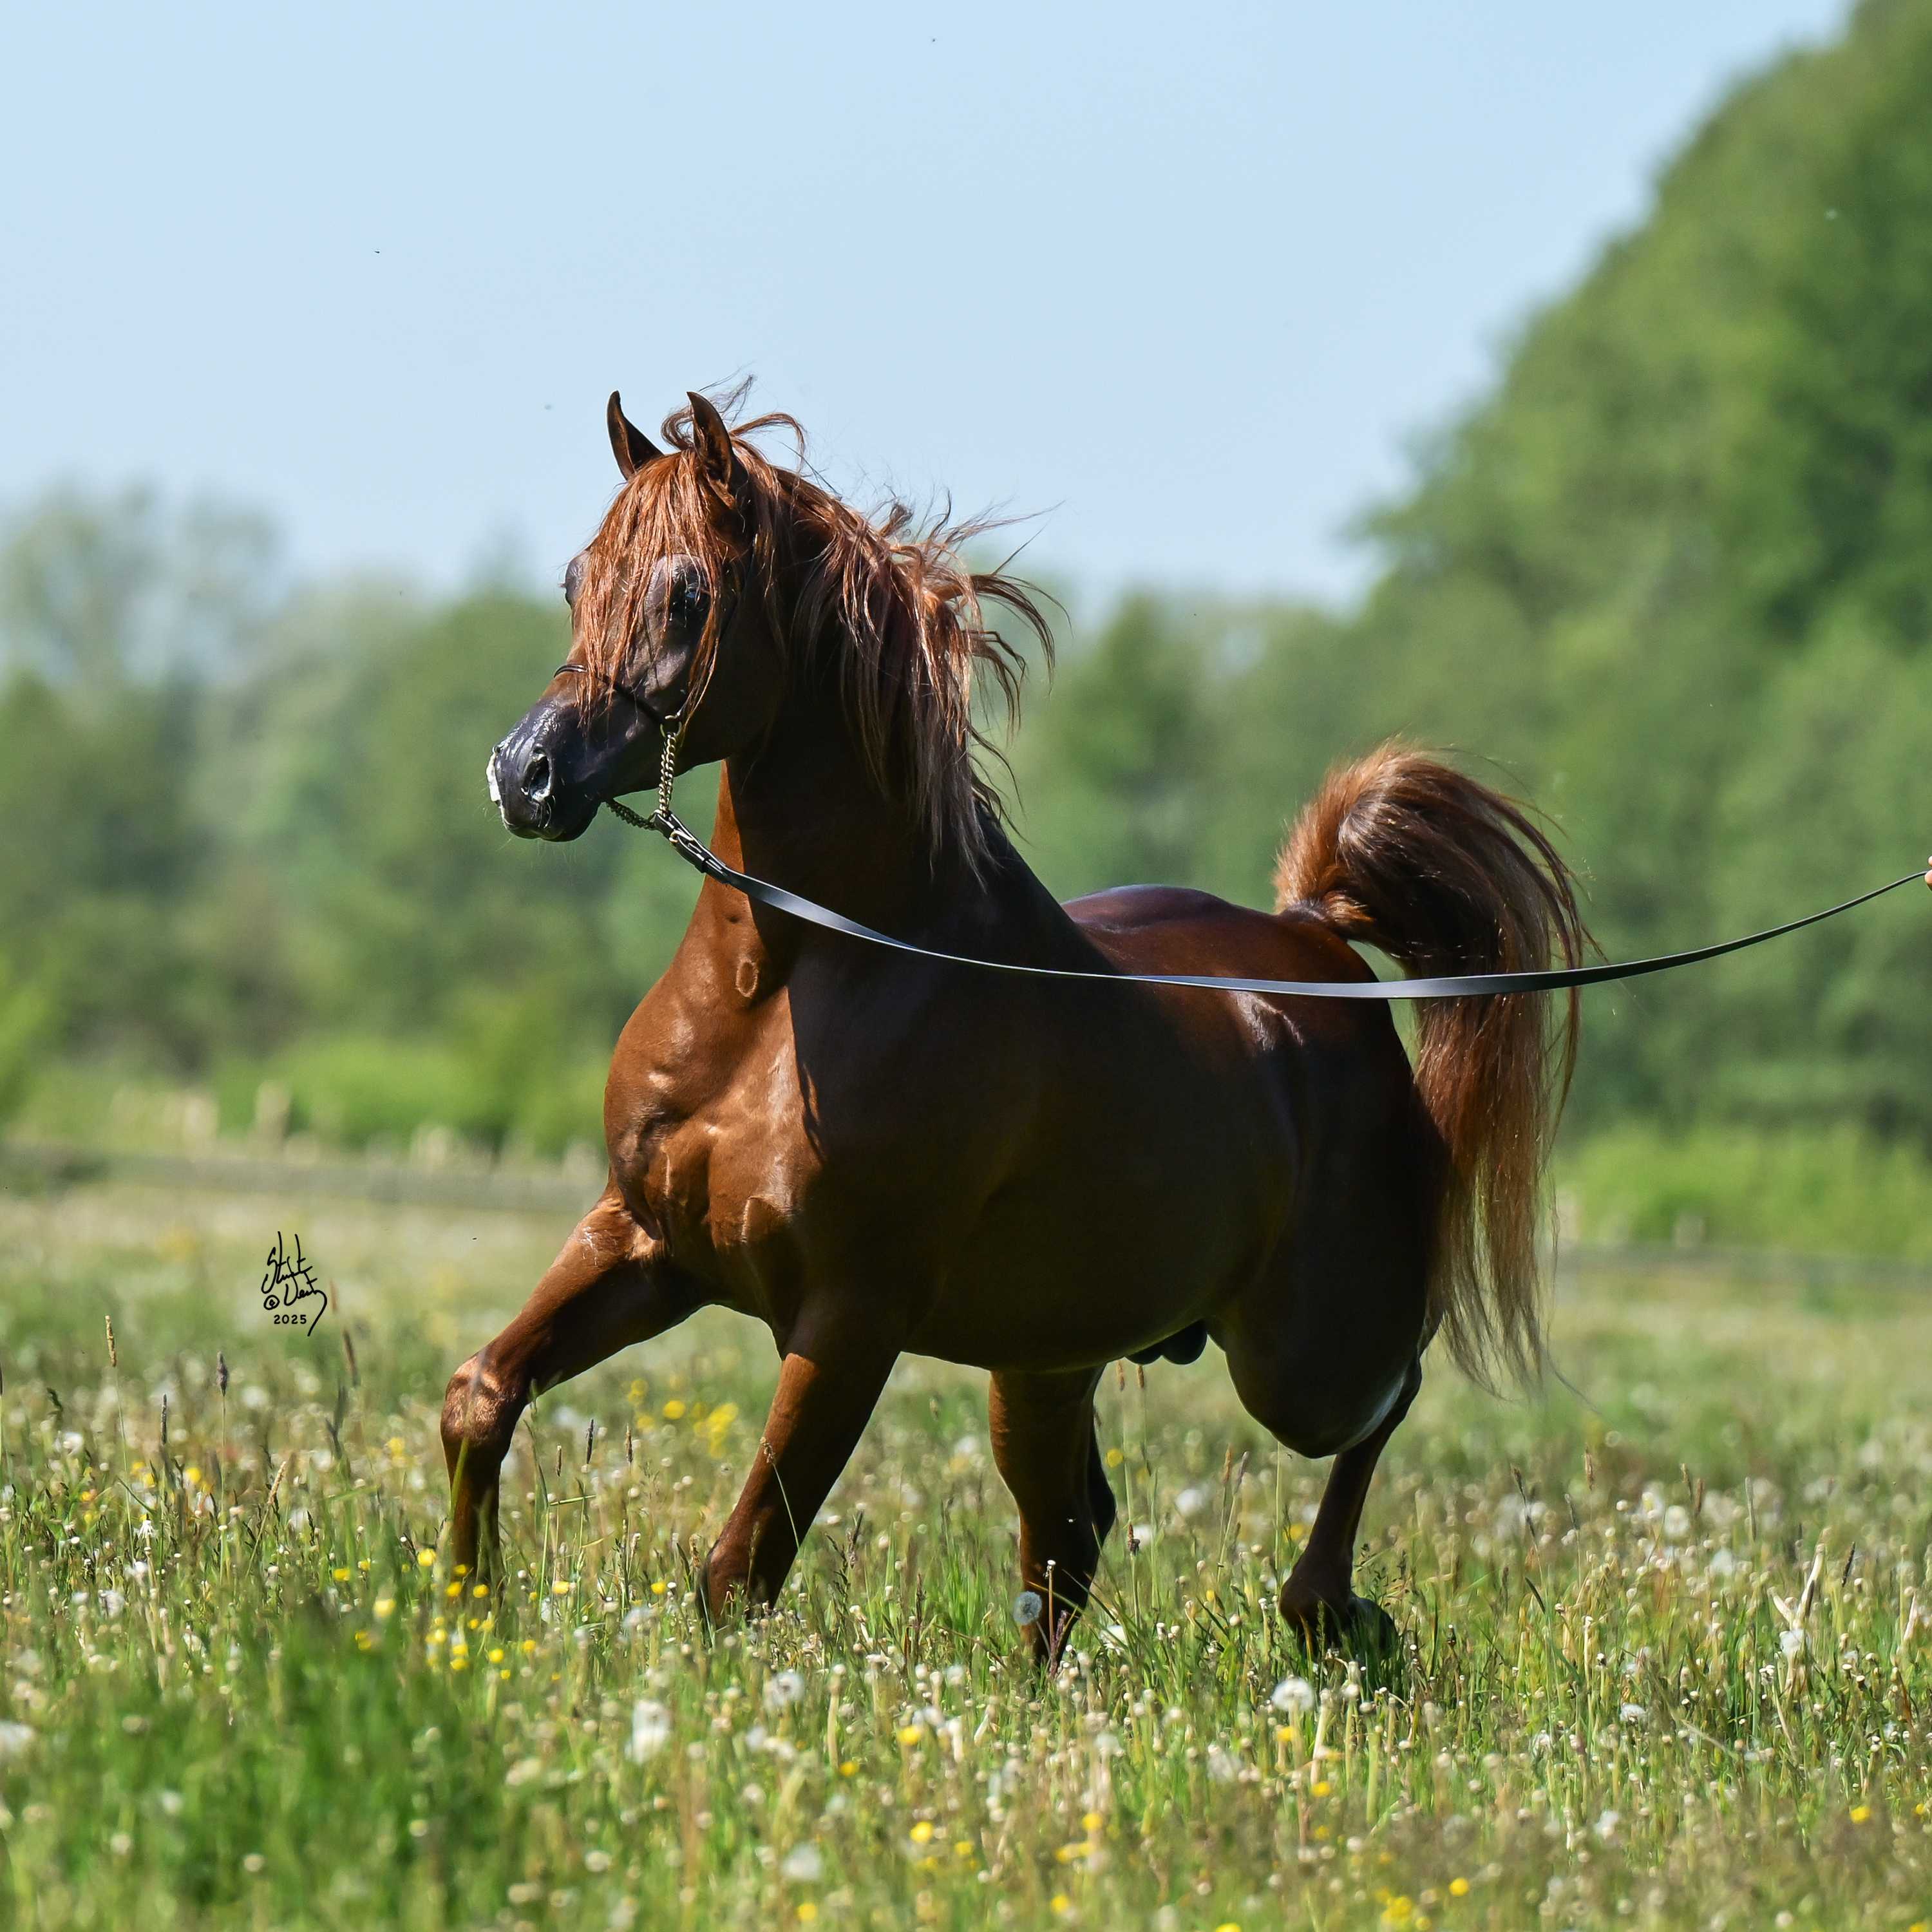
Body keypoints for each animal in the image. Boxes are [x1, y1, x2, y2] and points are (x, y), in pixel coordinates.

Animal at [441, 388, 1588, 1662]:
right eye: (576, 579)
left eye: (687, 594)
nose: (525, 775)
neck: (784, 993)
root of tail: (1316, 941)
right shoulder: (646, 1242)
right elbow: (480, 1398)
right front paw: (465, 1615)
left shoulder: (849, 1318)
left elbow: (741, 1567)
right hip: (1048, 1359)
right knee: (1072, 1531)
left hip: (1298, 1357)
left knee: (1385, 1402)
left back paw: (1332, 1611)